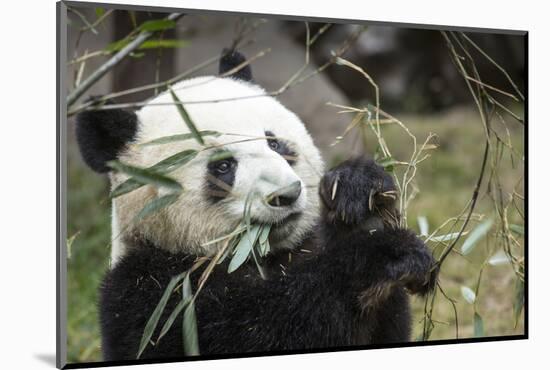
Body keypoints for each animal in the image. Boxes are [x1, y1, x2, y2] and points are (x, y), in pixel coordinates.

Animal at [75, 49, 438, 362]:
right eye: (223, 166)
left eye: (274, 143)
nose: (286, 194)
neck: (262, 256)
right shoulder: (153, 295)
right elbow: (269, 326)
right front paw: (383, 254)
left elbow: (385, 329)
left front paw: (358, 194)